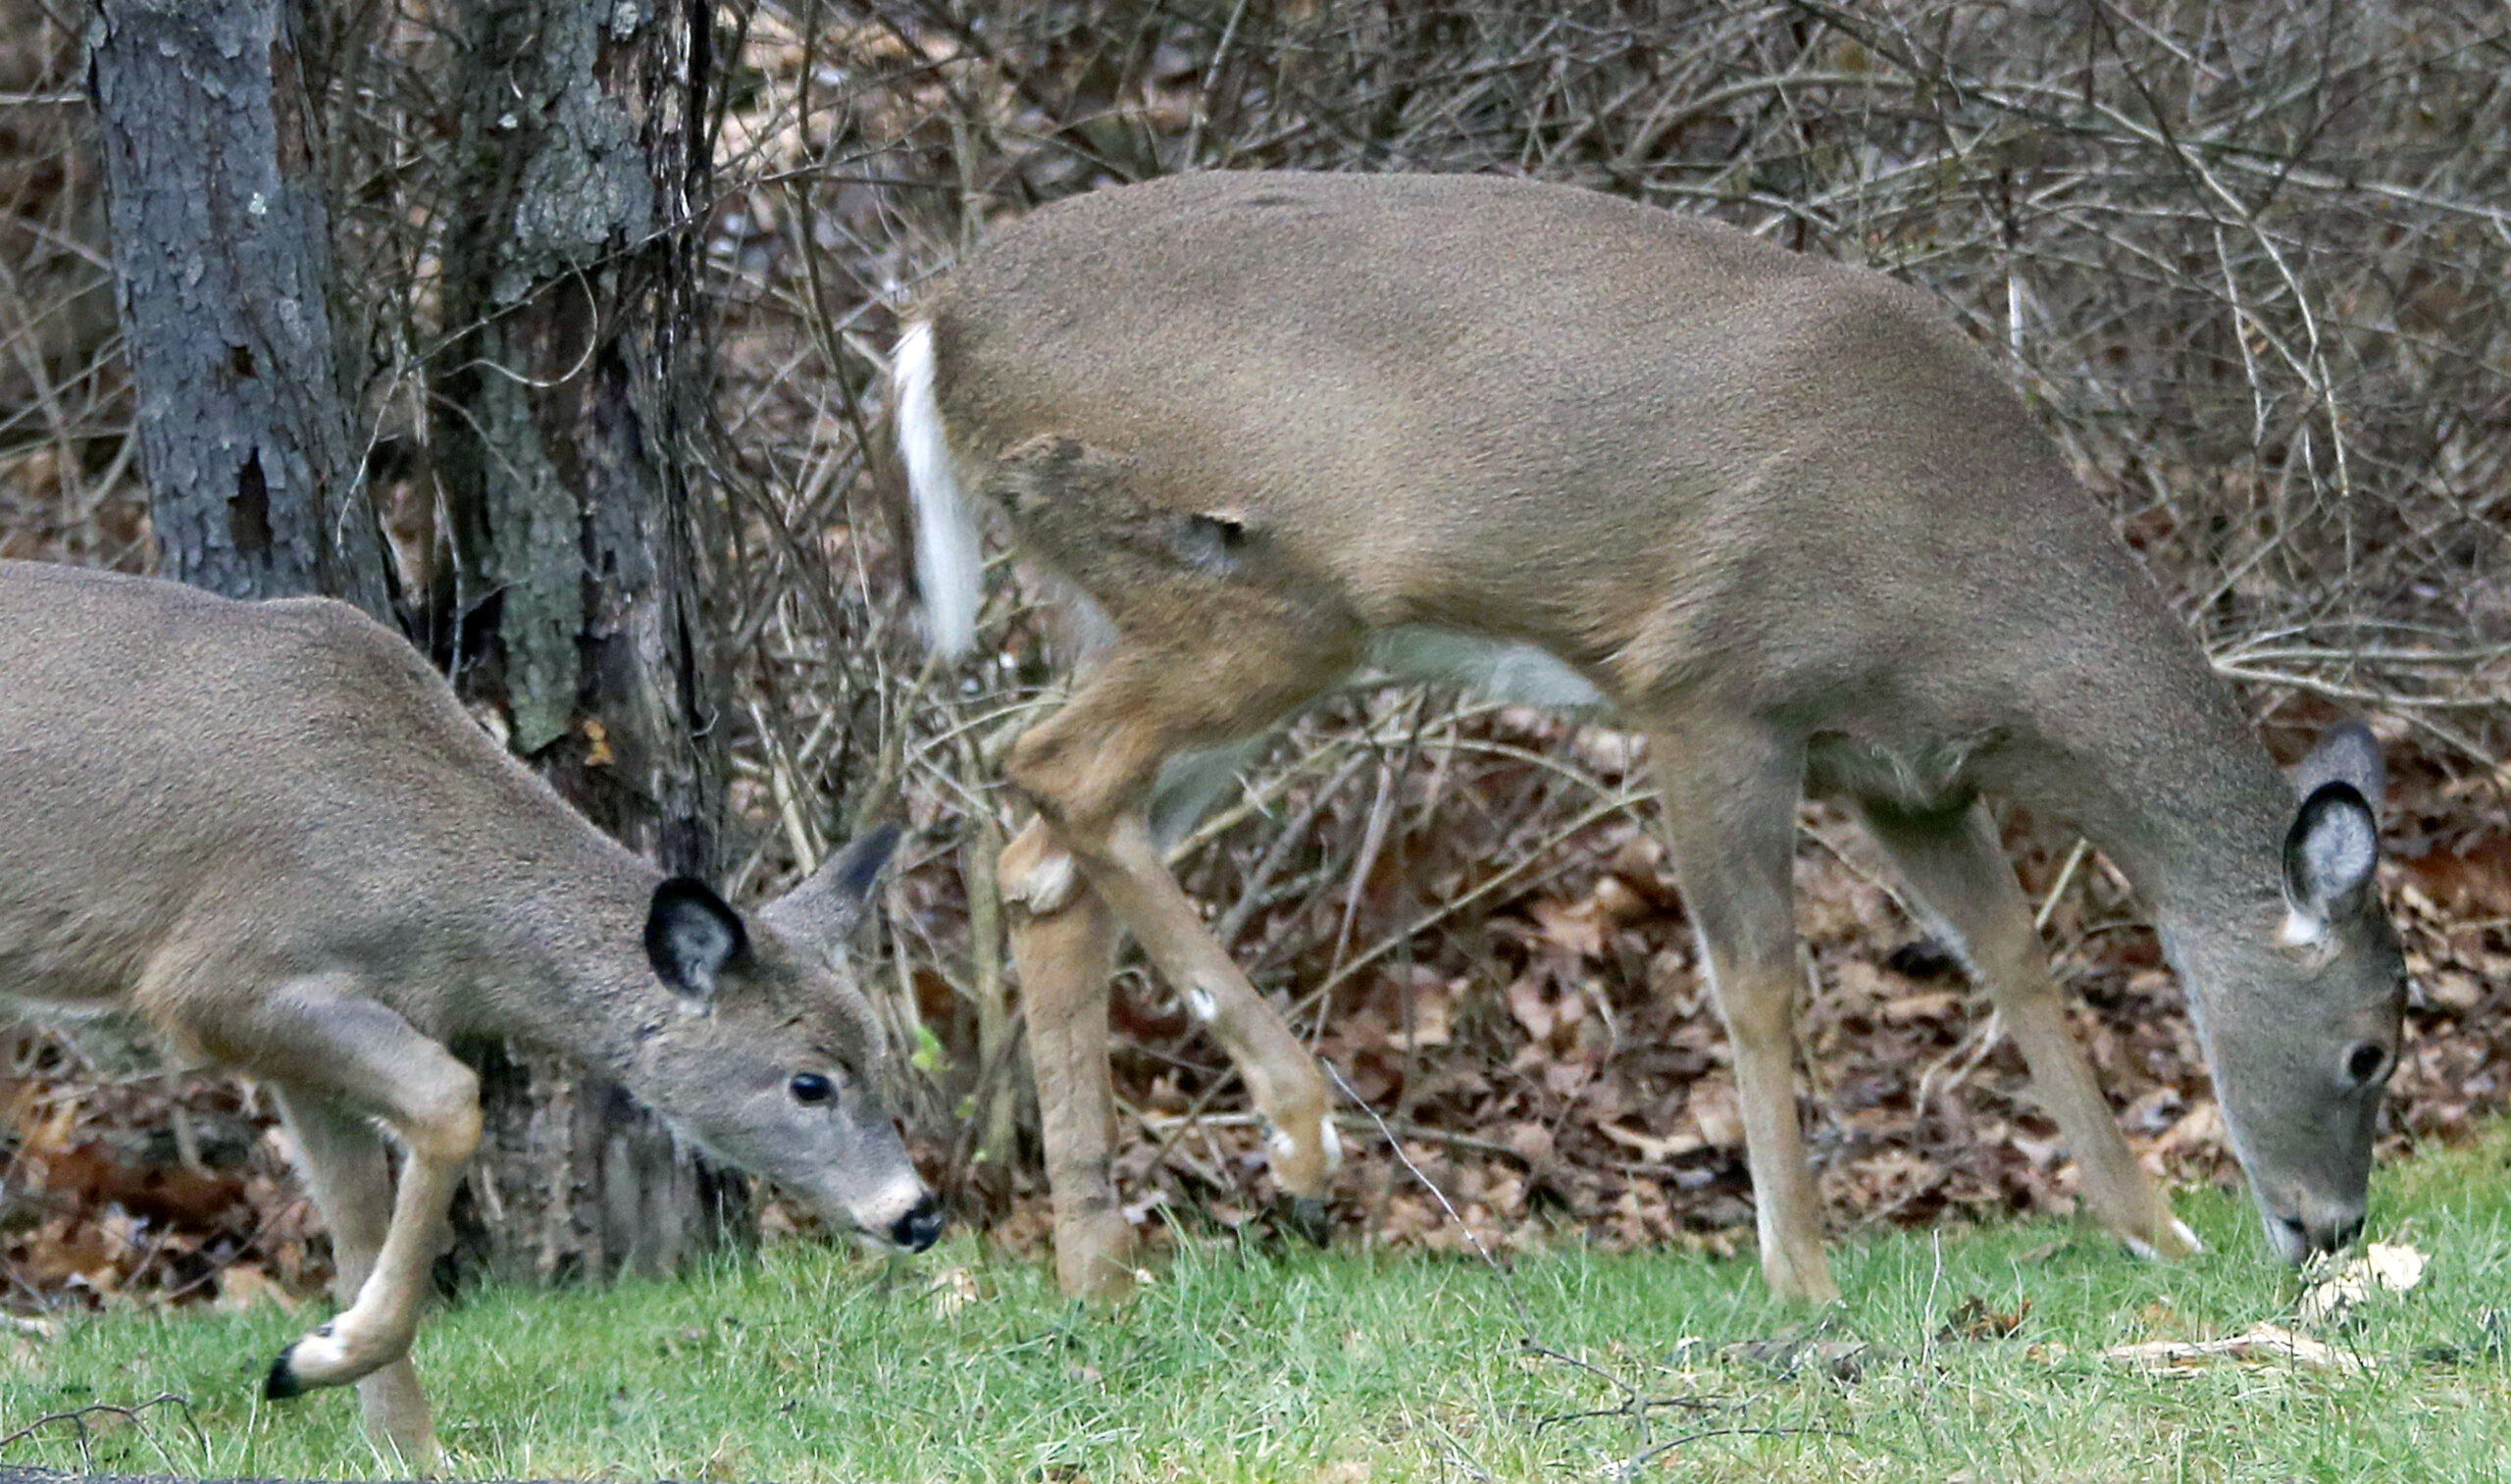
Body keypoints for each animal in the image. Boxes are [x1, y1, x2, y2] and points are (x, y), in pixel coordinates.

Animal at [0, 562, 944, 1466]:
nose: (918, 1214)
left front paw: (385, 1424)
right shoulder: (218, 974)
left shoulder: (303, 1038)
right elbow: (451, 1100)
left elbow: (356, 1220)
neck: (448, 910)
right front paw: (320, 1369)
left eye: (881, 1058)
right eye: (810, 1083)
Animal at [894, 171, 2400, 1305]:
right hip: (1253, 590)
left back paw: (1100, 1268)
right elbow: (1762, 981)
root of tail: (932, 322)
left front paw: (2153, 1228)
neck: (1978, 612)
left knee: (1045, 859)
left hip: (1151, 615)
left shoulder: (1903, 768)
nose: (2329, 1230)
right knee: (1055, 771)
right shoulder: (1712, 689)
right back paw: (1297, 1129)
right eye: (2371, 1050)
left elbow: (2016, 961)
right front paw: (1801, 1274)